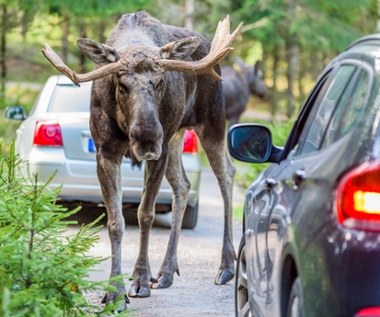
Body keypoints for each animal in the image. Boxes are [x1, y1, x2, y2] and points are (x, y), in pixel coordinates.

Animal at [41, 10, 243, 308]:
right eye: (122, 85)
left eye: (159, 82)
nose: (147, 136)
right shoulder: (106, 153)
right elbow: (115, 222)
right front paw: (115, 290)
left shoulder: (158, 152)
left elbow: (145, 214)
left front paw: (139, 280)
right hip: (175, 137)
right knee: (183, 186)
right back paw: (167, 271)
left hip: (211, 122)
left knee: (226, 175)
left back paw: (226, 266)